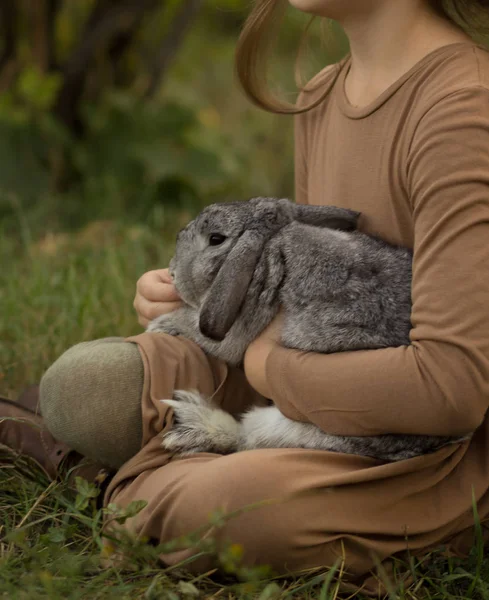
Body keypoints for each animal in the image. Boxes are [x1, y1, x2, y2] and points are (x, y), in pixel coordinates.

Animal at [147, 199, 468, 462]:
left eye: (216, 239)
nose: (172, 272)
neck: (271, 240)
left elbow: (210, 336)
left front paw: (161, 325)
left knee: (246, 436)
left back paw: (193, 422)